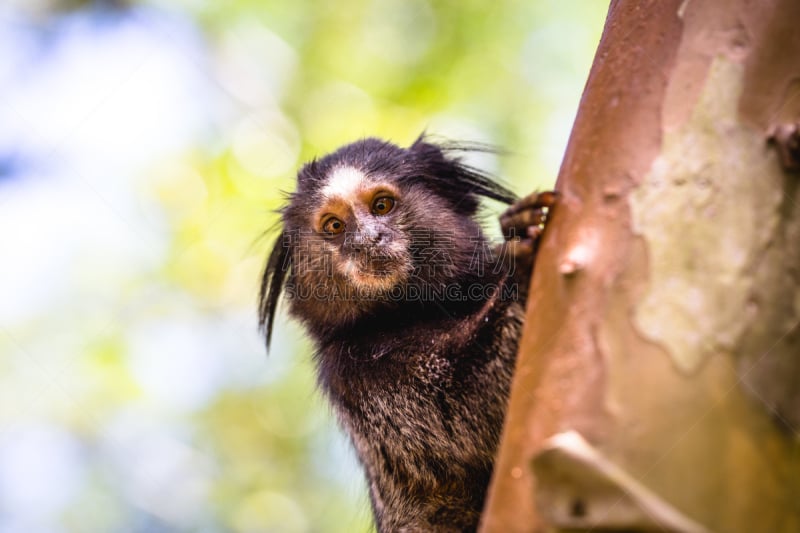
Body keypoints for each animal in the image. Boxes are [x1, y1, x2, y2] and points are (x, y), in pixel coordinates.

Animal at [260, 137, 552, 532]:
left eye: (382, 205)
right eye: (334, 225)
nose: (368, 240)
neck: (424, 310)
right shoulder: (354, 374)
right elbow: (468, 409)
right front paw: (519, 264)